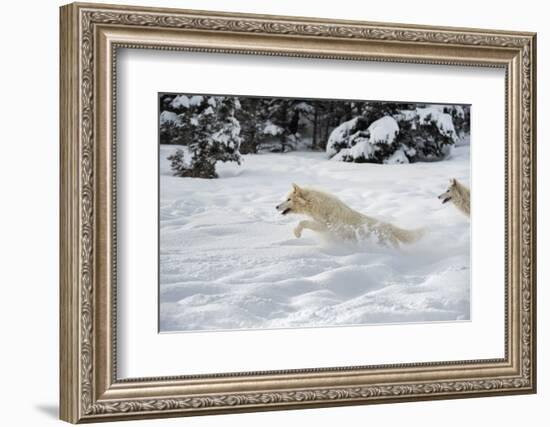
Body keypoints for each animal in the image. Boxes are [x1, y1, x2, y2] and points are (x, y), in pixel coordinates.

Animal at [276, 184, 426, 247]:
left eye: (288, 199)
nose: (276, 206)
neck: (319, 206)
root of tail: (388, 226)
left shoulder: (326, 227)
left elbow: (302, 222)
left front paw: (297, 233)